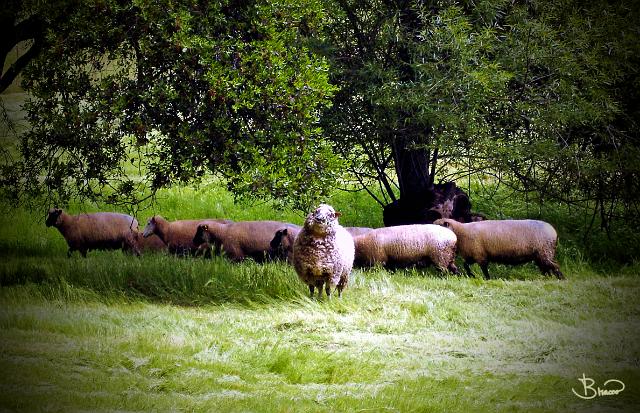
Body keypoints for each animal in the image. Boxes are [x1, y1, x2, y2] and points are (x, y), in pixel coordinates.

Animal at [432, 217, 564, 278]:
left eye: (439, 225)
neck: (461, 232)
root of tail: (554, 232)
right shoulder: (473, 255)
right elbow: (466, 265)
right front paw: (471, 275)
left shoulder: (480, 255)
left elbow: (484, 269)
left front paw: (487, 279)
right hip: (540, 255)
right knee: (546, 268)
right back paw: (547, 278)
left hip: (545, 251)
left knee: (555, 266)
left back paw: (560, 278)